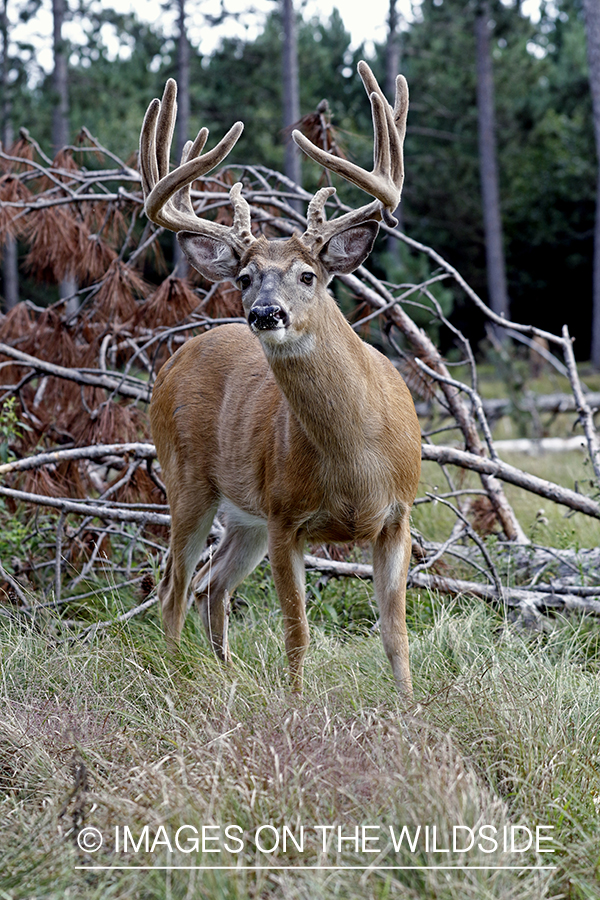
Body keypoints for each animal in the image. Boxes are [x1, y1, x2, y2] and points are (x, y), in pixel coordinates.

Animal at [140, 63, 422, 696]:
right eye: (245, 277)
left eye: (307, 274)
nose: (266, 313)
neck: (355, 461)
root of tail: (171, 361)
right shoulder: (285, 516)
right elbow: (298, 632)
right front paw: (294, 704)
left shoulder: (398, 515)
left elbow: (396, 634)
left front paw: (410, 706)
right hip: (188, 481)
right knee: (174, 584)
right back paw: (175, 676)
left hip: (243, 516)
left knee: (212, 583)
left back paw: (226, 673)